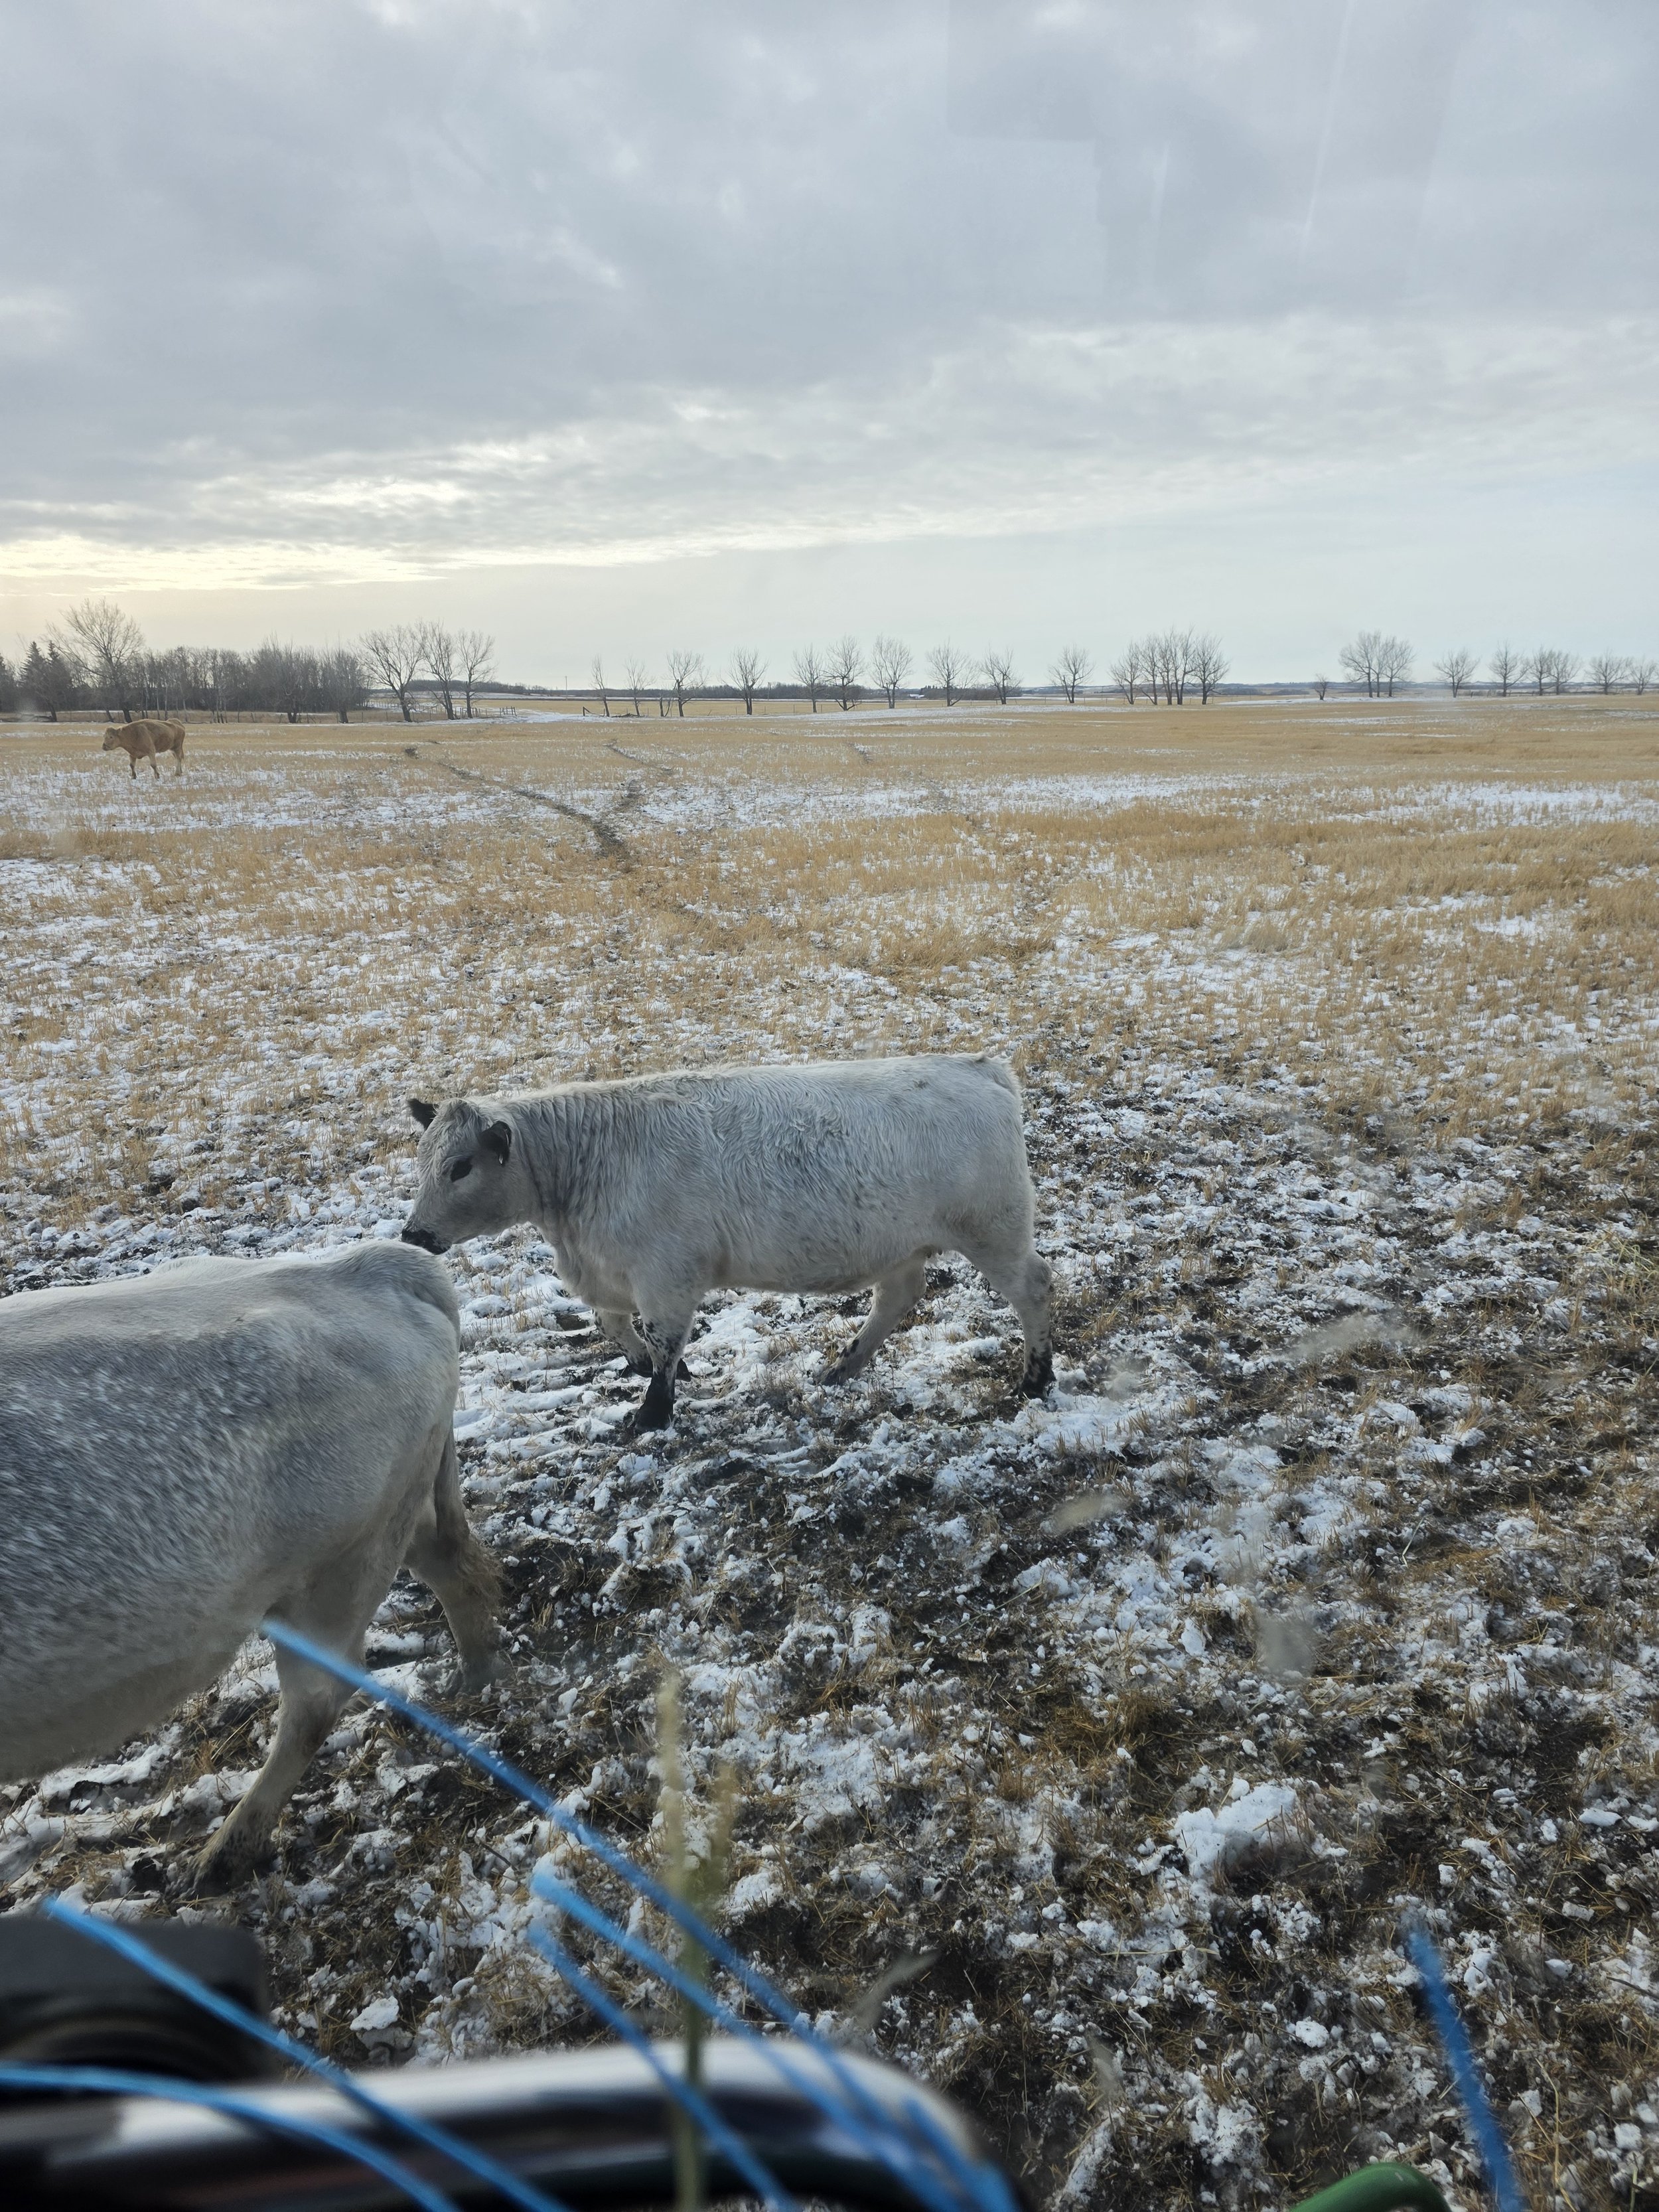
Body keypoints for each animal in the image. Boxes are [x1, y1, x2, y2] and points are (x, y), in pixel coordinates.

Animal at [0, 1242, 502, 1889]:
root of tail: (375, 1262)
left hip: (340, 1563)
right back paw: (478, 1670)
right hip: (399, 1511)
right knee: (454, 1563)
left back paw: (224, 1851)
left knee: (317, 1699)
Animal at [401, 1053, 1054, 1432]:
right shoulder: (611, 1271)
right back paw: (843, 1367)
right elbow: (617, 1326)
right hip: (903, 1247)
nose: (413, 1234)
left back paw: (1036, 1378)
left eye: (460, 1167)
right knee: (897, 1297)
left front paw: (653, 1411)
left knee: (1034, 1287)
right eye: (424, 1159)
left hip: (994, 1230)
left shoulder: (666, 1276)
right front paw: (648, 1368)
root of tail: (976, 1066)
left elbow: (663, 1338)